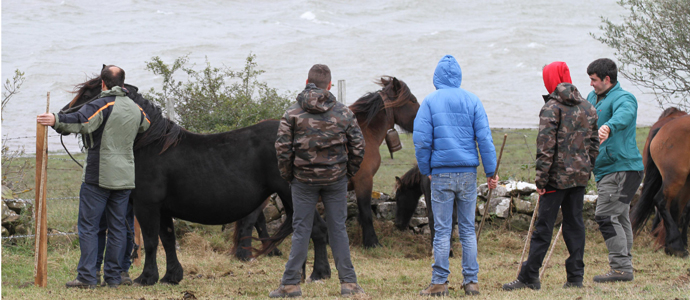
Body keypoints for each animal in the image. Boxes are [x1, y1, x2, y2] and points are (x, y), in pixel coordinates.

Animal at [61, 78, 312, 286]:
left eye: (88, 94)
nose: (62, 113)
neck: (149, 145)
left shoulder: (147, 206)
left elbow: (151, 241)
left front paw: (146, 277)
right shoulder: (162, 210)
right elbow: (167, 239)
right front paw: (171, 276)